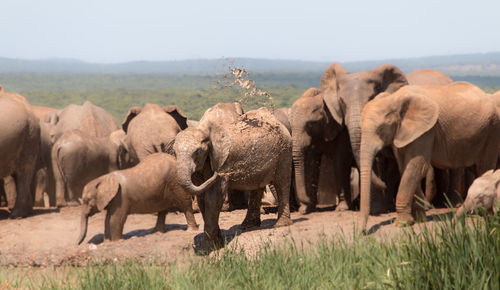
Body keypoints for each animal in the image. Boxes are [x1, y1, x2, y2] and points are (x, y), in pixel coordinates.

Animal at [360, 82, 500, 230]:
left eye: (381, 129)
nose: (362, 232)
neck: (395, 98)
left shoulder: (427, 131)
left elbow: (416, 166)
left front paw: (402, 224)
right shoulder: (404, 132)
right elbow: (405, 167)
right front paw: (418, 219)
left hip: (492, 130)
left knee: (484, 167)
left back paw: (481, 214)